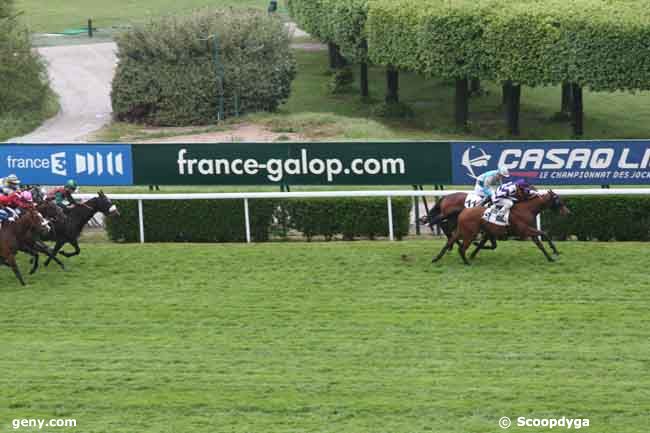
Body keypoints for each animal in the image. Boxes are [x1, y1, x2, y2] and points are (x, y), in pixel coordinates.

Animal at [430, 191, 568, 264]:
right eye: (559, 201)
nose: (568, 212)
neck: (527, 209)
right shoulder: (525, 230)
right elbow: (544, 234)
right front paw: (554, 252)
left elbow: (540, 244)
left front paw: (551, 257)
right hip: (469, 233)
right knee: (458, 244)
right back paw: (465, 260)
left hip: (461, 230)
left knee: (449, 240)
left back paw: (437, 258)